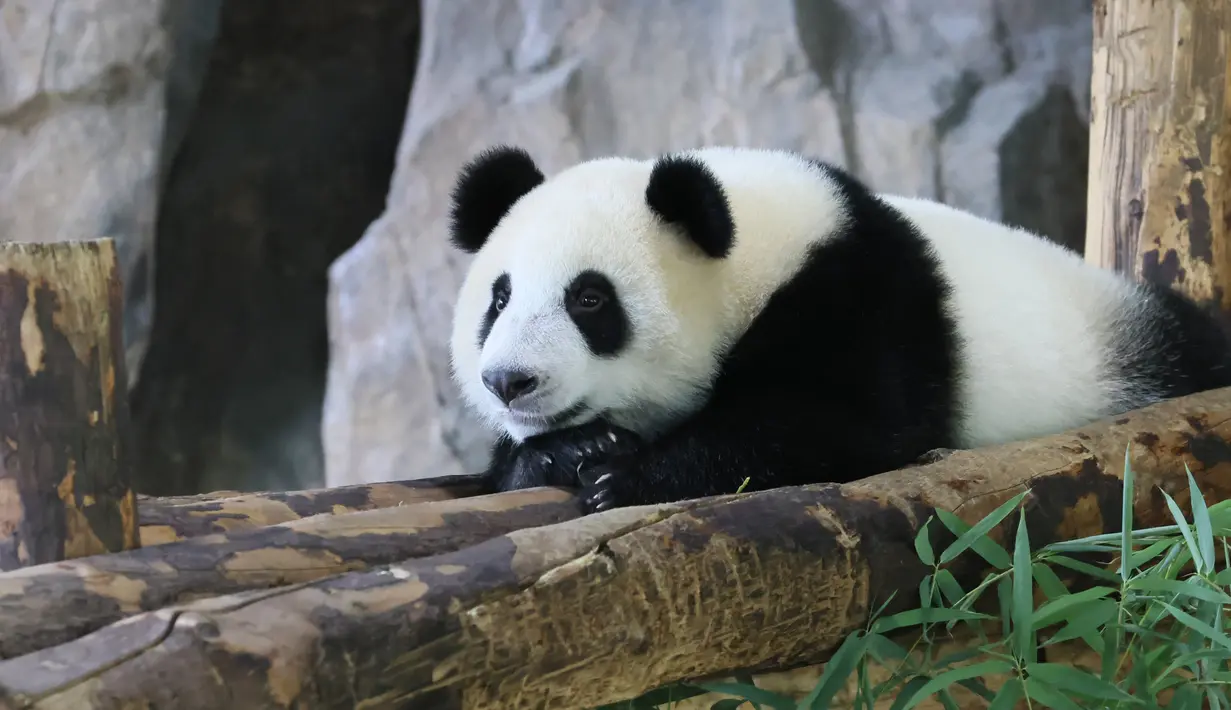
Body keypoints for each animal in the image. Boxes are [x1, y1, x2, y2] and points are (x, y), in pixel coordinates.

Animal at [446, 144, 1231, 514]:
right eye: (499, 299)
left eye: (589, 300)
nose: (509, 381)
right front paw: (572, 450)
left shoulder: (859, 296)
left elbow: (839, 425)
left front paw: (625, 479)